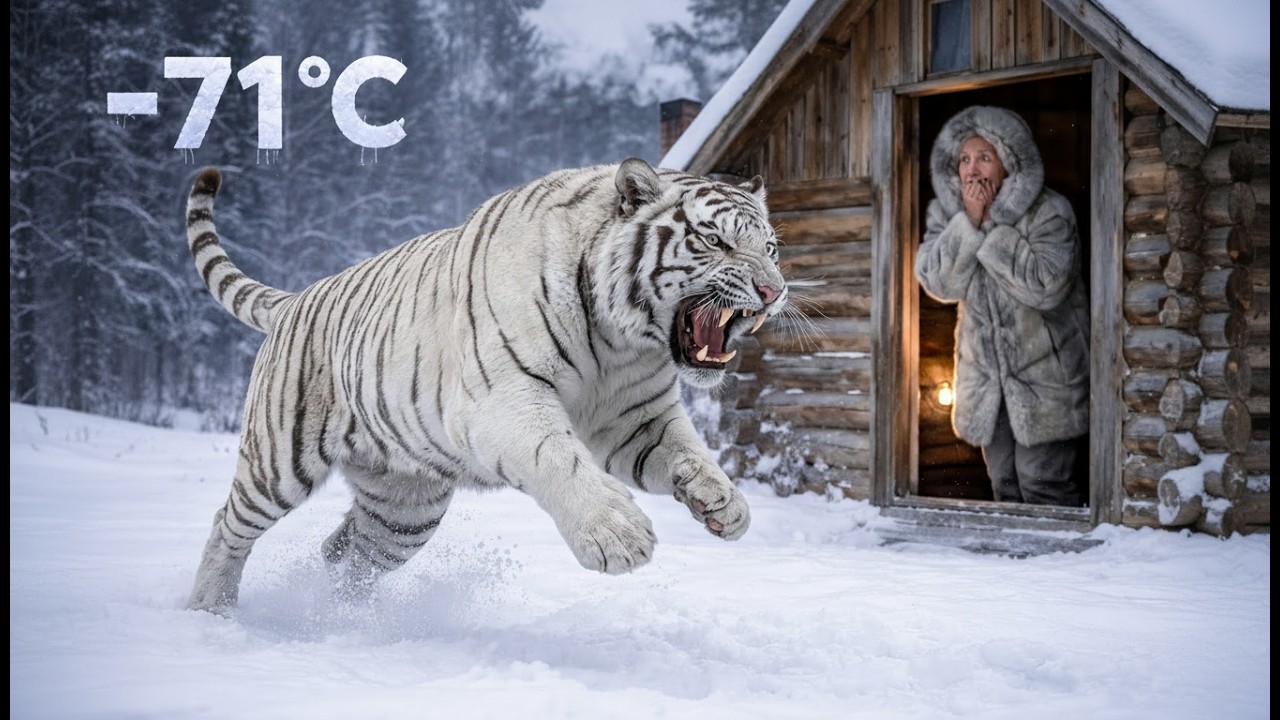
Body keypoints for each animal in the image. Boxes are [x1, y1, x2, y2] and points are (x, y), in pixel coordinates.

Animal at [184, 158, 788, 614]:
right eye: (713, 240)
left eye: (771, 248)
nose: (774, 291)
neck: (620, 339)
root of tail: (294, 299)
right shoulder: (507, 400)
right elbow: (561, 461)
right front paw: (617, 537)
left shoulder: (636, 419)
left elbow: (689, 451)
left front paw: (725, 503)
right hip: (280, 459)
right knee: (227, 525)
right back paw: (212, 610)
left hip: (404, 509)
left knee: (346, 553)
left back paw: (346, 620)